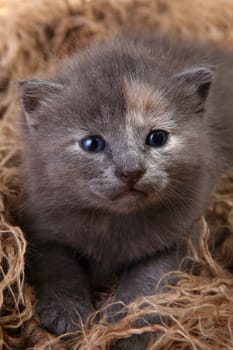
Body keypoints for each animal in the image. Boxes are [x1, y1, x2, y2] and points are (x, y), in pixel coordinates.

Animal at [18, 30, 233, 348]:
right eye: (92, 143)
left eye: (157, 138)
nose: (131, 171)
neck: (113, 223)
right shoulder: (42, 226)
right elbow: (59, 265)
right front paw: (67, 311)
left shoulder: (184, 235)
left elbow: (146, 281)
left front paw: (127, 326)